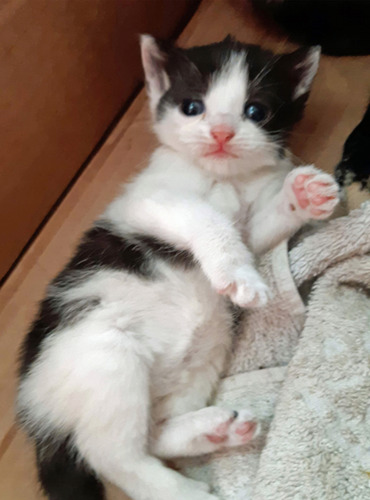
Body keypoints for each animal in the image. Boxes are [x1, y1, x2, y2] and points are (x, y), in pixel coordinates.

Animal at [18, 36, 338, 500]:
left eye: (255, 111)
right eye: (192, 107)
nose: (221, 132)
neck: (222, 179)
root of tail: (31, 402)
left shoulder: (249, 225)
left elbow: (254, 231)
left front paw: (303, 195)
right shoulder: (148, 200)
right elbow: (206, 218)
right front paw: (239, 275)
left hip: (200, 365)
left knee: (152, 433)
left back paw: (213, 430)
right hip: (106, 356)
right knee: (113, 456)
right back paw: (183, 490)